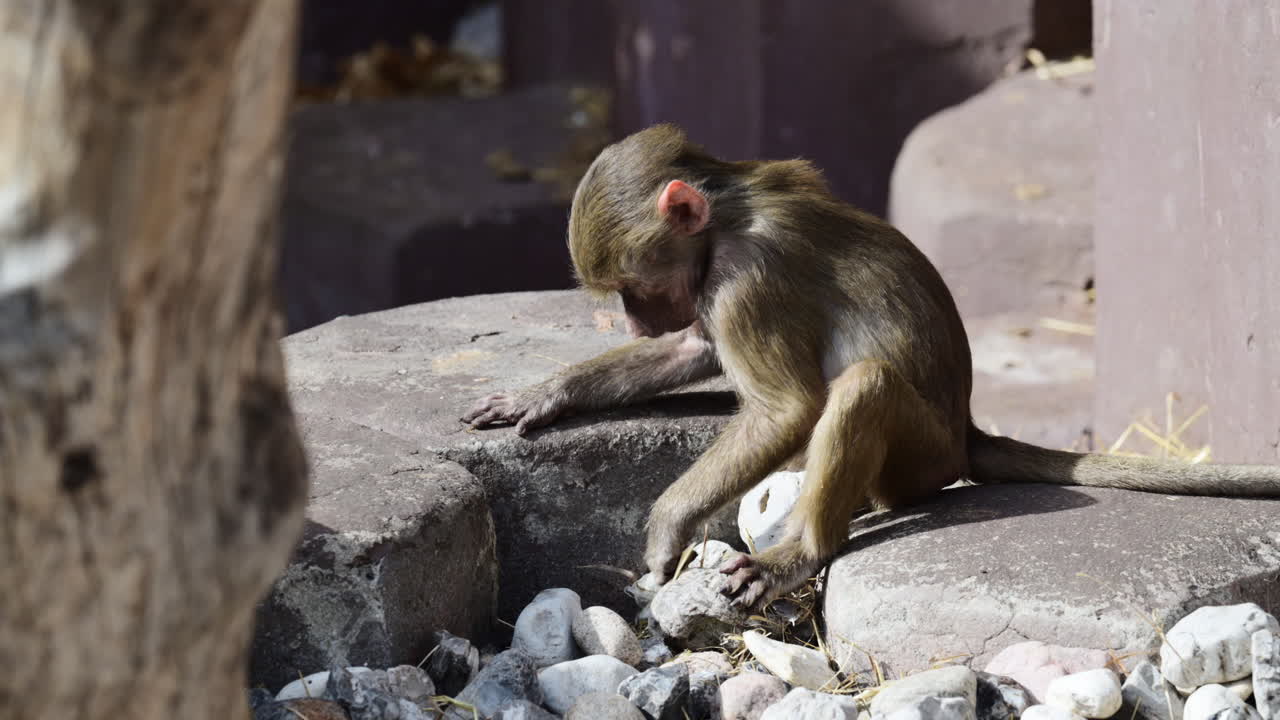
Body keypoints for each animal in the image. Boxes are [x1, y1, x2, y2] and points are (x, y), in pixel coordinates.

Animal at [462, 123, 1280, 611]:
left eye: (632, 288)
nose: (632, 320)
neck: (729, 210)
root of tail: (966, 432)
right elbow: (691, 348)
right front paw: (543, 396)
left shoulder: (744, 282)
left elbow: (786, 409)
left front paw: (664, 531)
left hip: (922, 460)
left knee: (865, 388)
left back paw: (801, 553)